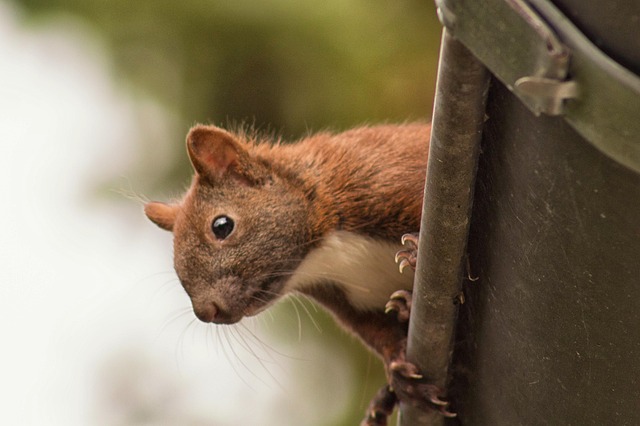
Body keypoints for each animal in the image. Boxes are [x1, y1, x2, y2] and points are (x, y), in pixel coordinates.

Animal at [145, 122, 456, 422]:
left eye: (222, 226)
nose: (207, 312)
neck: (323, 249)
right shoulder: (343, 298)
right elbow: (376, 331)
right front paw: (399, 373)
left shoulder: (391, 178)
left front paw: (415, 253)